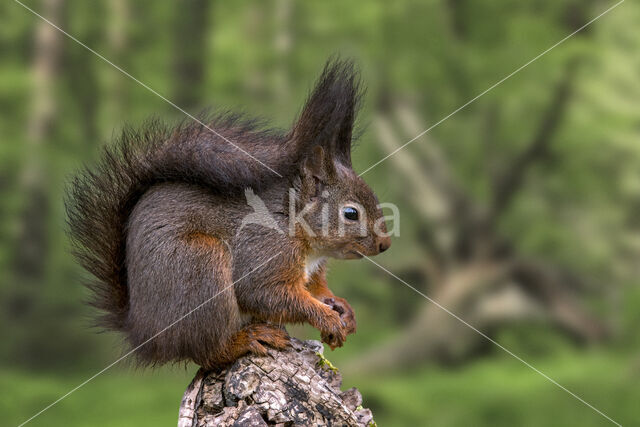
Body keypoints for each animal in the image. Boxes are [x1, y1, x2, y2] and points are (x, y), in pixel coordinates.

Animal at [67, 58, 392, 370]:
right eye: (351, 213)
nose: (385, 245)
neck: (293, 222)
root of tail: (144, 334)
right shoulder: (263, 247)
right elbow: (264, 293)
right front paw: (326, 318)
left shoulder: (310, 271)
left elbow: (314, 288)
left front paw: (342, 308)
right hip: (199, 267)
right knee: (208, 352)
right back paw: (246, 339)